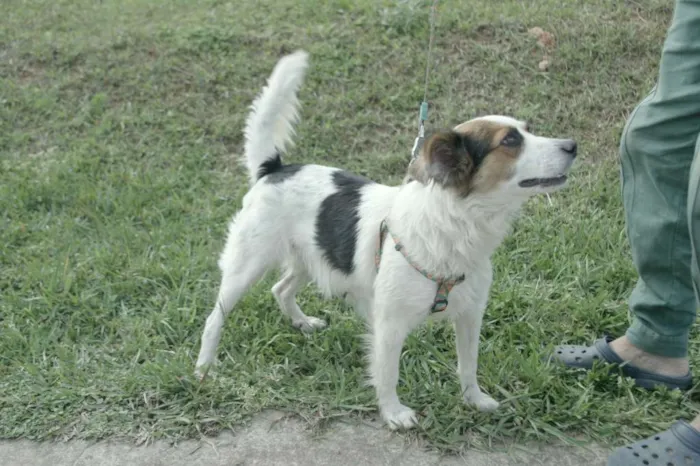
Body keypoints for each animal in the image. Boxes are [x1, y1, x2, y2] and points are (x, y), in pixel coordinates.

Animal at [194, 50, 576, 430]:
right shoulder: (389, 324)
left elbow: (469, 365)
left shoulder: (470, 314)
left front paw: (474, 399)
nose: (573, 145)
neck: (453, 225)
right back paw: (204, 368)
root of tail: (274, 168)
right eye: (510, 141)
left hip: (313, 256)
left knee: (281, 288)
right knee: (215, 319)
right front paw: (393, 413)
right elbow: (388, 372)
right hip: (246, 266)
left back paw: (301, 323)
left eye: (528, 130)